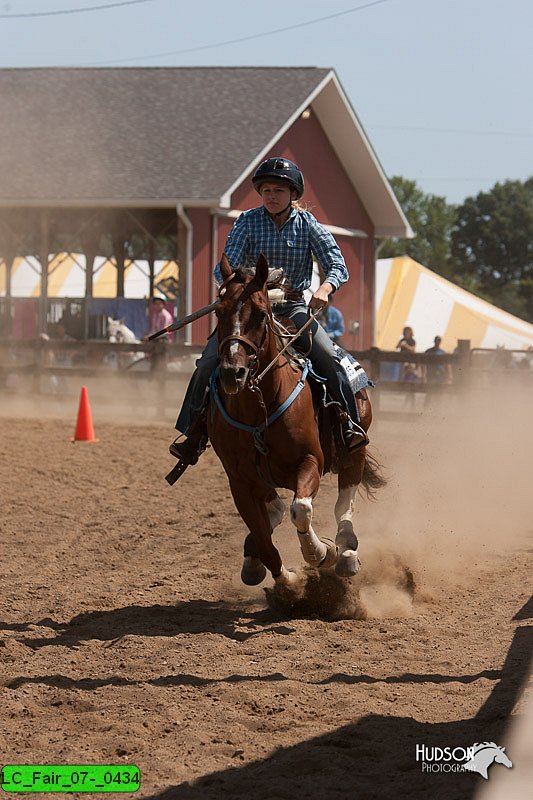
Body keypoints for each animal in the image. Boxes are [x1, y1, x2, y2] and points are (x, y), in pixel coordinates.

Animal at [206, 253, 384, 592]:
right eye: (219, 312)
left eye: (261, 315)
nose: (232, 374)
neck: (259, 410)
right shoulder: (239, 481)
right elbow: (264, 536)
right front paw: (287, 581)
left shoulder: (310, 461)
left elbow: (301, 509)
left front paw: (321, 553)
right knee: (274, 512)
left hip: (355, 450)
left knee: (343, 503)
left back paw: (347, 551)